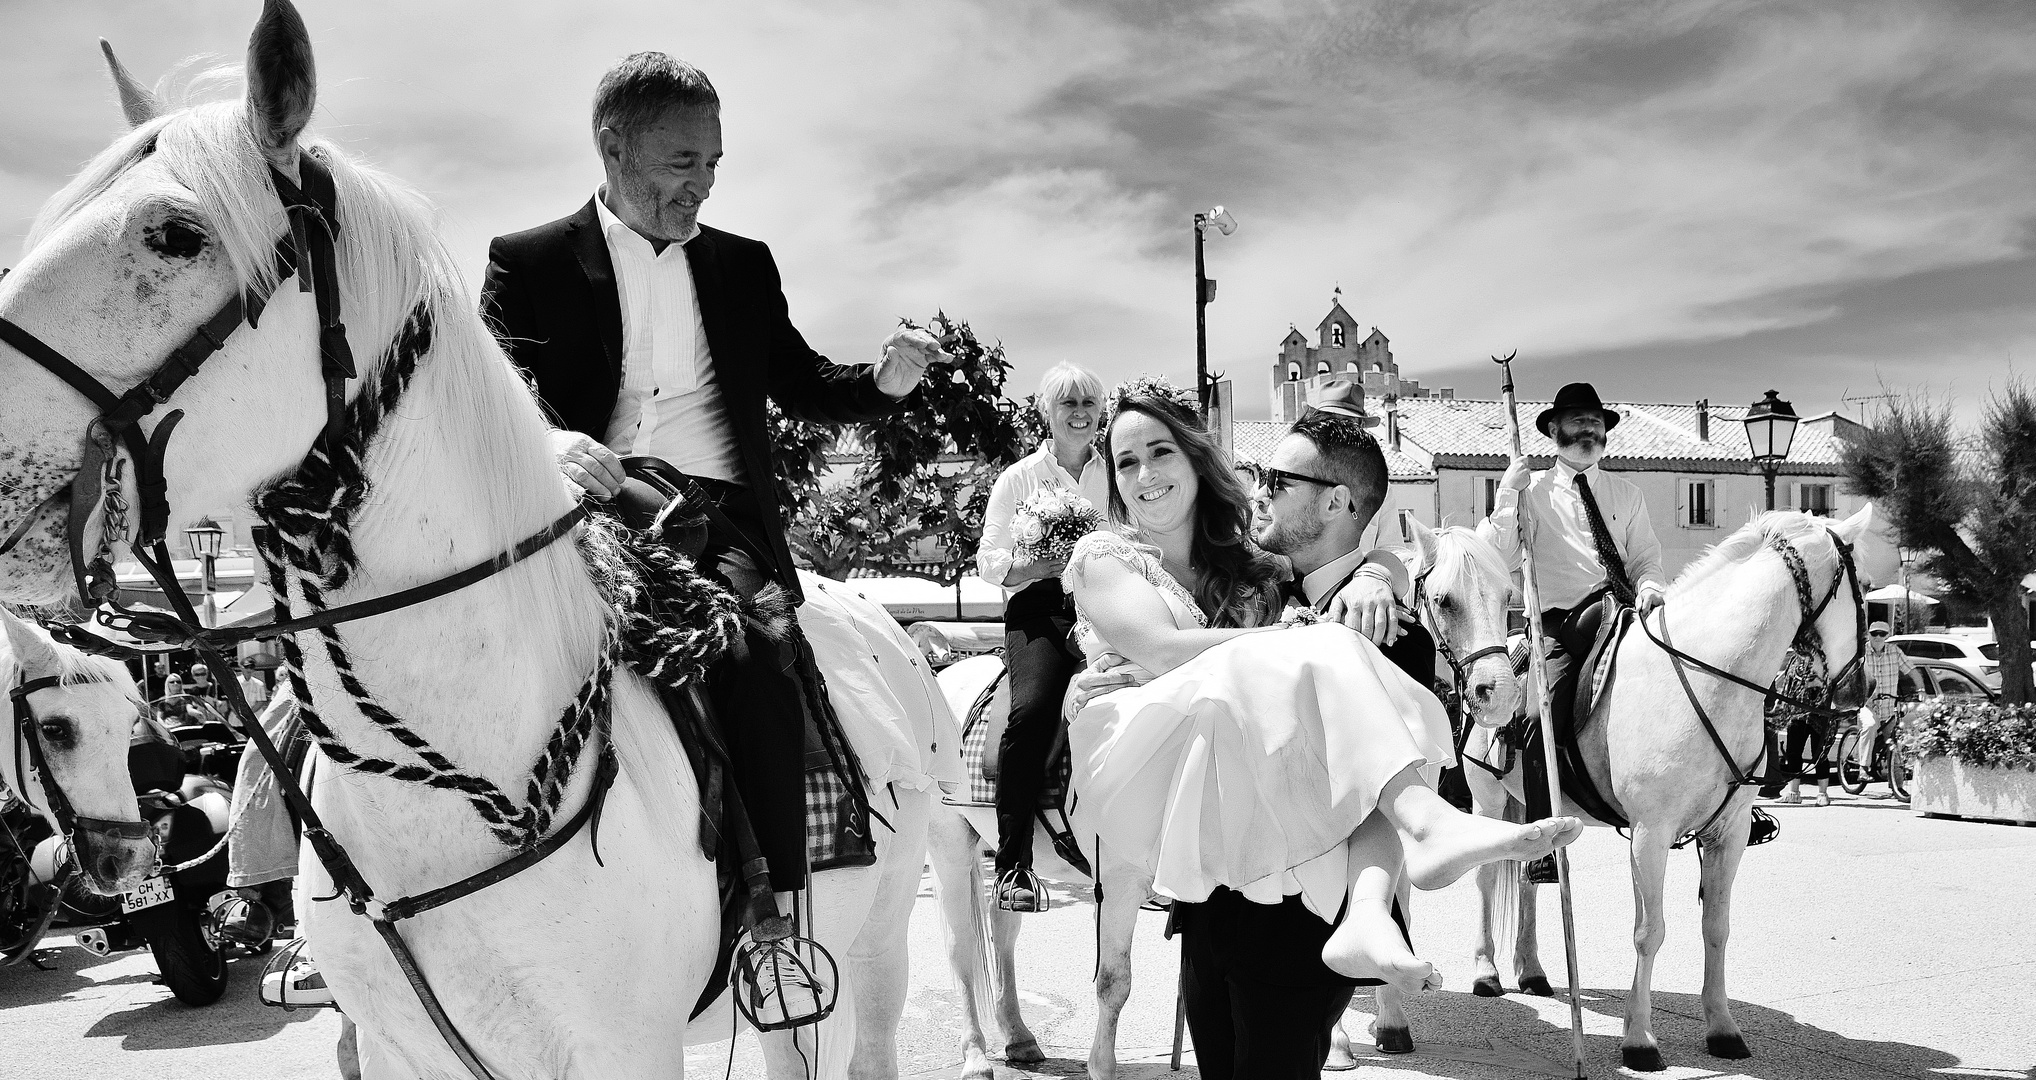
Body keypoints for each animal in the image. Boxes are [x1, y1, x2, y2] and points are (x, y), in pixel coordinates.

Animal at [932, 517, 1522, 1067]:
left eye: (1507, 597)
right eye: (1445, 600)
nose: (1497, 693)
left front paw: (1389, 1019)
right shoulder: (1118, 877)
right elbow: (1114, 982)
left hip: (1003, 848)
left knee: (1002, 929)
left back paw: (1019, 1037)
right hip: (950, 849)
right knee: (962, 952)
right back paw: (975, 1055)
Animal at [1465, 507, 1873, 1067]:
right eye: (1866, 588)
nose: (1862, 690)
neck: (1710, 679)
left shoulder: (1729, 833)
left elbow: (1716, 928)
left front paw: (1722, 1028)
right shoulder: (1650, 834)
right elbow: (1649, 931)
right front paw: (1639, 1039)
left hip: (1536, 810)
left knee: (1531, 877)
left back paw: (1531, 970)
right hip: (1487, 801)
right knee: (1486, 879)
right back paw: (1486, 972)